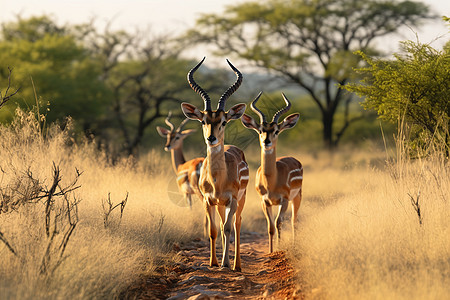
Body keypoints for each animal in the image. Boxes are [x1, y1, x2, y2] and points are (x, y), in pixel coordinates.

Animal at [180, 57, 250, 270]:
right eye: (203, 120)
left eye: (224, 121)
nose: (211, 138)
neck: (218, 179)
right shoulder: (208, 200)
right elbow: (213, 230)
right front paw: (213, 262)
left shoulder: (232, 200)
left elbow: (227, 229)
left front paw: (225, 263)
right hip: (220, 204)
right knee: (221, 224)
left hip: (240, 200)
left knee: (236, 224)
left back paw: (236, 265)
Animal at [241, 91, 304, 253]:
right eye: (261, 130)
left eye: (276, 131)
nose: (266, 142)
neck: (271, 181)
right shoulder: (265, 201)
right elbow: (270, 227)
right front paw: (270, 251)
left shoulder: (284, 200)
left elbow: (278, 223)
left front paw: (279, 249)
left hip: (297, 197)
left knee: (294, 221)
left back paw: (294, 245)